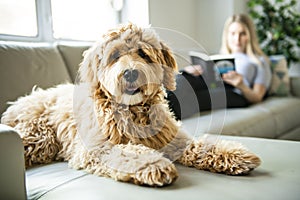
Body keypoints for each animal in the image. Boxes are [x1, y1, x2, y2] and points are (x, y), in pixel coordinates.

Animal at [0, 23, 260, 188]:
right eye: (115, 56)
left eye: (143, 54)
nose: (131, 73)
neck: (134, 111)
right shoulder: (98, 147)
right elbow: (128, 152)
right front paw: (154, 165)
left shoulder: (173, 137)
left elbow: (199, 145)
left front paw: (234, 155)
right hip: (38, 137)